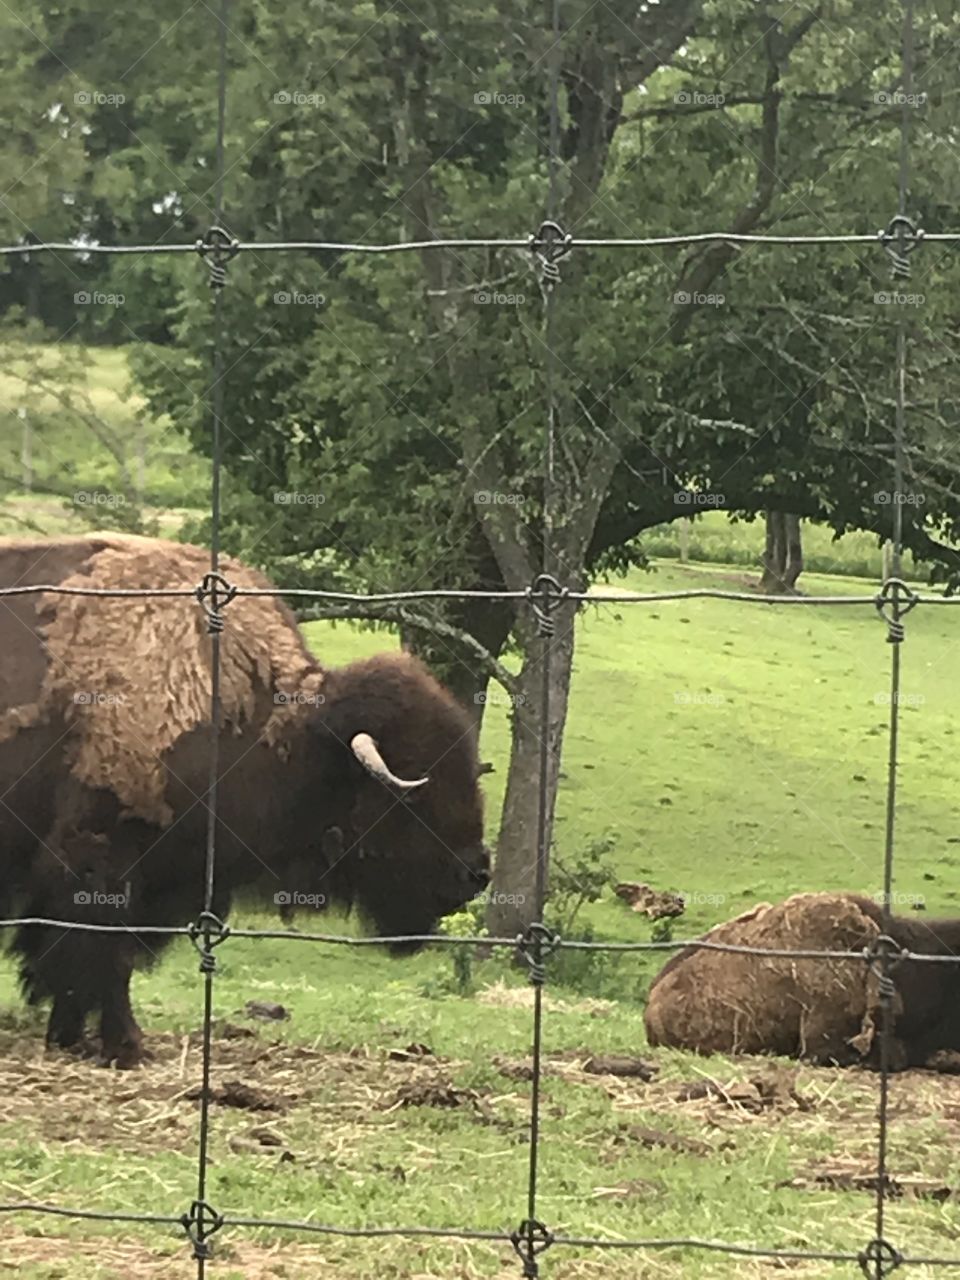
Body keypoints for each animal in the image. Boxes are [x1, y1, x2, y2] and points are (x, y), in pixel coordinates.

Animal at [0, 535, 491, 1064]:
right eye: (413, 795)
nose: (476, 874)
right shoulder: (102, 859)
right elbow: (103, 956)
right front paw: (126, 1045)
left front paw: (71, 1036)